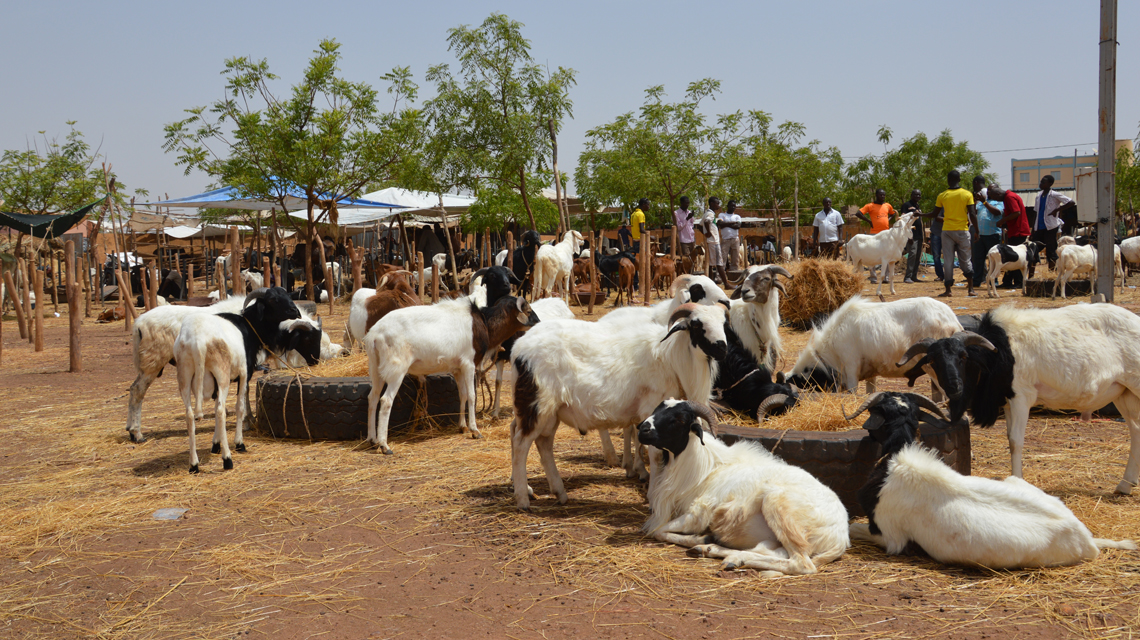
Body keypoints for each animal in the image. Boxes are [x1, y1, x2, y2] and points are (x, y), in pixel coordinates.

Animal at [171, 288, 321, 472]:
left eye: (286, 294)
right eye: (272, 300)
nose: (295, 311)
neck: (251, 326)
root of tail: (197, 341)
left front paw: (216, 444)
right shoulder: (244, 374)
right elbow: (240, 407)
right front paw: (238, 443)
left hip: (184, 377)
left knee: (190, 415)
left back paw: (194, 464)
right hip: (222, 375)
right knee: (220, 410)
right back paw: (227, 460)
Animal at [365, 295, 540, 454]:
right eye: (528, 310)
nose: (538, 322)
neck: (483, 323)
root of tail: (375, 334)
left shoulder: (457, 369)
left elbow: (462, 394)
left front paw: (462, 427)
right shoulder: (469, 364)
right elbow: (472, 395)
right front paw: (475, 430)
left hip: (375, 368)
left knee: (372, 397)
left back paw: (372, 440)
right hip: (397, 369)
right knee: (386, 400)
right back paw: (384, 445)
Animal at [509, 303, 728, 508]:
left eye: (724, 323)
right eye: (696, 324)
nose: (722, 348)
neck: (670, 357)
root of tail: (518, 349)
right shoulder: (651, 409)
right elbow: (656, 454)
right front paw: (652, 493)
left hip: (551, 410)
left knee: (543, 443)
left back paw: (558, 492)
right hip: (537, 404)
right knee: (521, 444)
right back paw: (523, 498)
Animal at [636, 399, 849, 575]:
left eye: (679, 419)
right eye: (657, 409)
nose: (642, 429)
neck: (703, 467)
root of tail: (841, 535)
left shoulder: (696, 515)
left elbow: (658, 531)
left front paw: (699, 539)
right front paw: (704, 542)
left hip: (779, 507)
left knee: (801, 564)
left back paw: (730, 556)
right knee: (771, 551)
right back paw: (716, 552)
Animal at [897, 304, 1140, 494]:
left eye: (963, 356)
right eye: (933, 360)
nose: (954, 387)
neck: (997, 353)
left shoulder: (1022, 396)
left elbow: (1015, 442)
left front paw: (1017, 481)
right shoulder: (1007, 401)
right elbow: (1009, 438)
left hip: (1135, 387)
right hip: (1123, 393)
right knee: (1136, 430)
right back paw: (1125, 485)